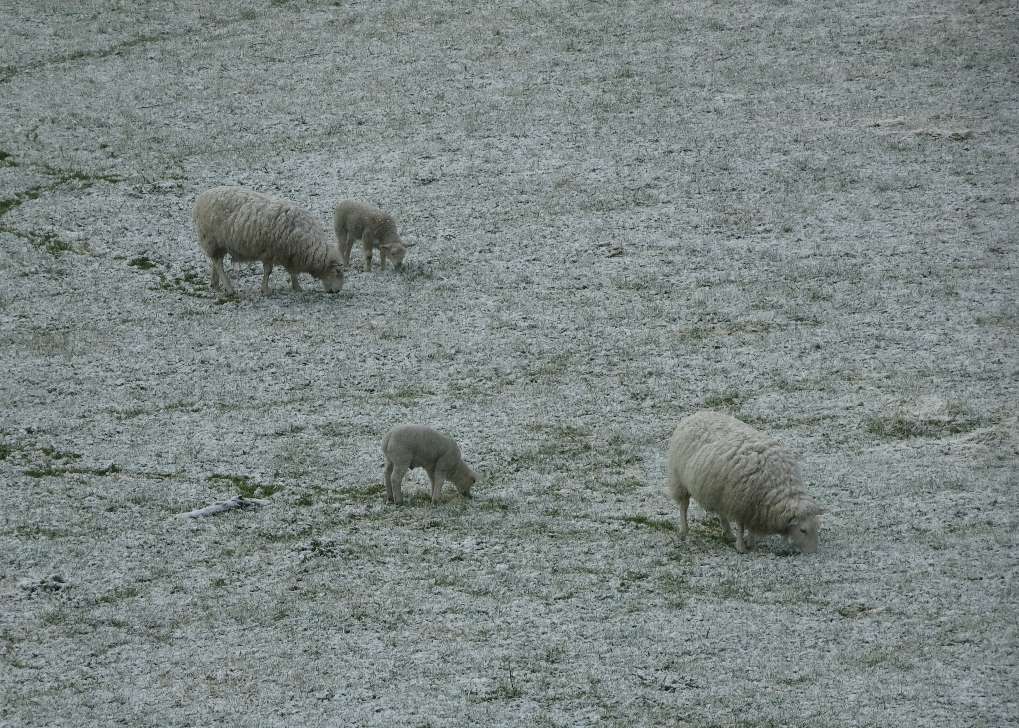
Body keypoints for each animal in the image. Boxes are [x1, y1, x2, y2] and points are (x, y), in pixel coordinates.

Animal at [193, 186, 344, 295]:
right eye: (337, 271)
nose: (337, 291)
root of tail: (202, 198)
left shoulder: (290, 254)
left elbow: (292, 272)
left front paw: (297, 287)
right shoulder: (271, 252)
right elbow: (268, 271)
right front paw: (265, 290)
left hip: (219, 244)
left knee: (215, 262)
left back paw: (215, 284)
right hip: (212, 239)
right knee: (218, 263)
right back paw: (229, 289)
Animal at [666, 411, 823, 553]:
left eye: (817, 527)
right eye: (803, 530)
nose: (813, 552)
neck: (778, 484)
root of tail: (695, 415)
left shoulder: (752, 506)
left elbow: (750, 527)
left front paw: (750, 542)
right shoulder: (741, 503)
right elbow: (741, 527)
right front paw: (741, 547)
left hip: (721, 491)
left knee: (721, 512)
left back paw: (728, 534)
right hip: (679, 479)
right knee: (683, 506)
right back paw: (684, 531)